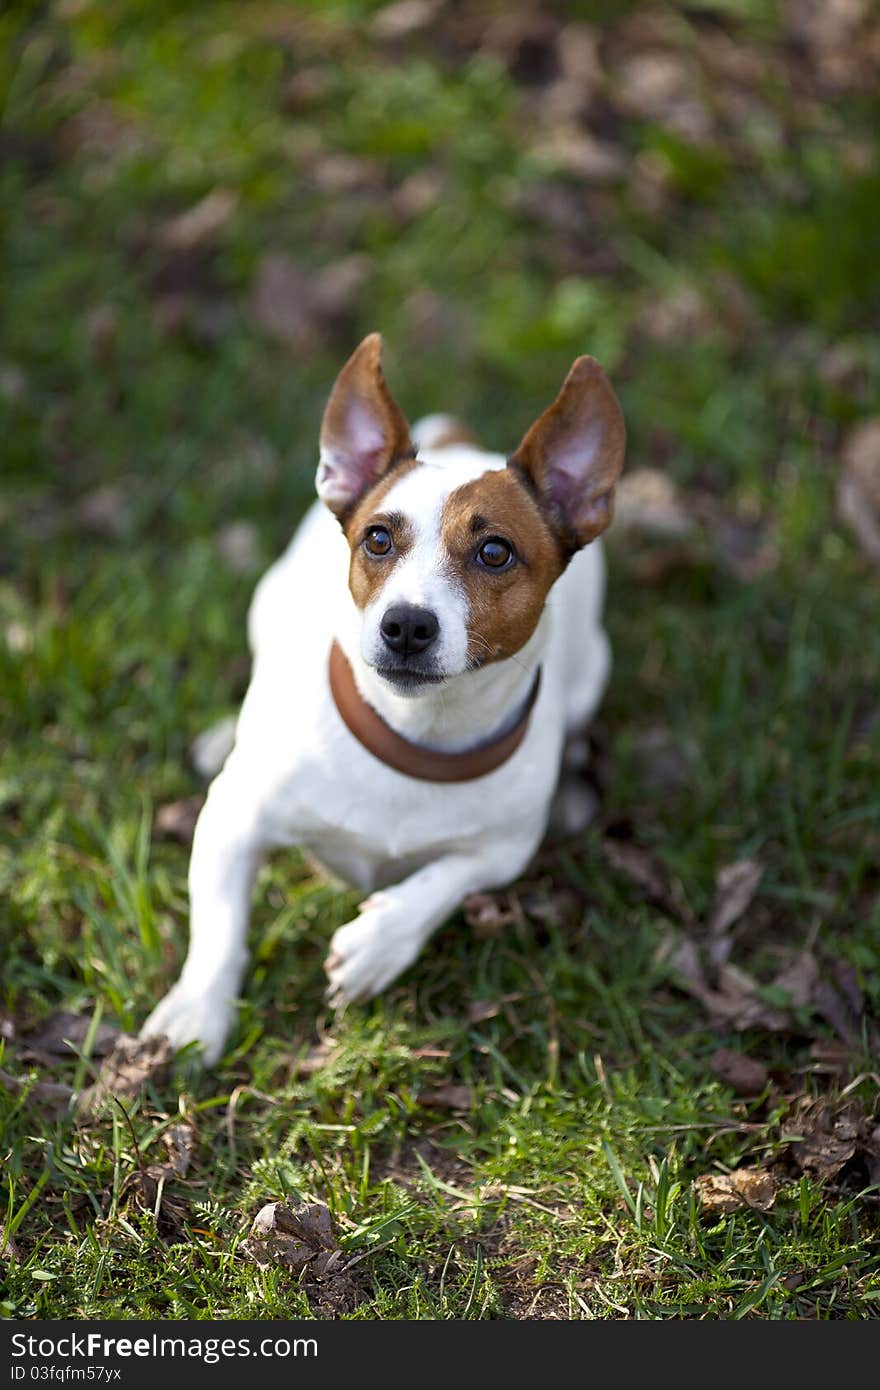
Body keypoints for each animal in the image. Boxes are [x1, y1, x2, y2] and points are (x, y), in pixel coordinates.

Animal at [142, 336, 625, 1061]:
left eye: (495, 552)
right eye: (377, 538)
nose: (406, 625)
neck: (412, 735)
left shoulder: (504, 851)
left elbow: (447, 880)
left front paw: (380, 942)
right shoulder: (232, 822)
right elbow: (219, 929)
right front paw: (198, 1011)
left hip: (593, 670)